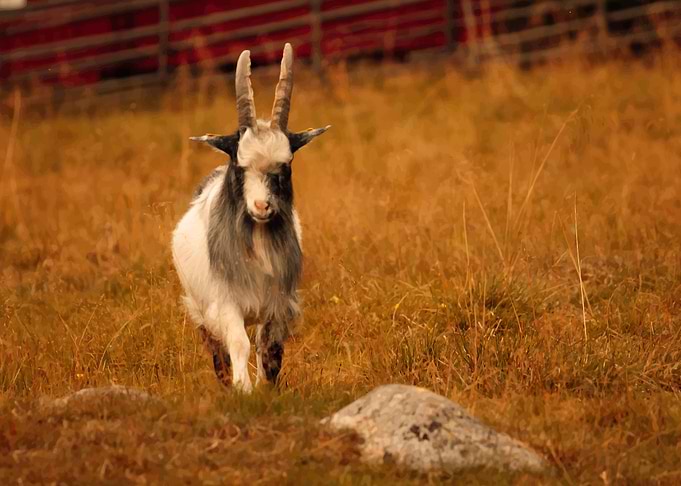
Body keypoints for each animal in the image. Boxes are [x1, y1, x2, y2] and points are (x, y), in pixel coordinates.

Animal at [171, 44, 329, 392]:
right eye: (240, 166)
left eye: (285, 167)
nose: (261, 207)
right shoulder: (226, 303)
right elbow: (239, 344)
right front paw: (243, 389)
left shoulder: (277, 304)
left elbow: (267, 347)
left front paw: (266, 388)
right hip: (200, 307)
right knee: (218, 349)